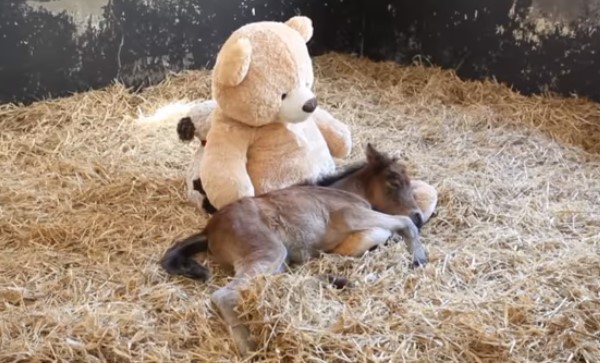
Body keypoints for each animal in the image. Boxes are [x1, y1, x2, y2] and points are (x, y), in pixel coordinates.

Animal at [162, 144, 428, 356]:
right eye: (394, 181)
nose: (419, 217)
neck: (347, 191)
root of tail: (209, 229)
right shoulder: (351, 215)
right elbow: (400, 224)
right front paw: (418, 256)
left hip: (276, 259)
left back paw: (337, 280)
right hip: (269, 251)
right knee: (224, 294)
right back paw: (248, 346)